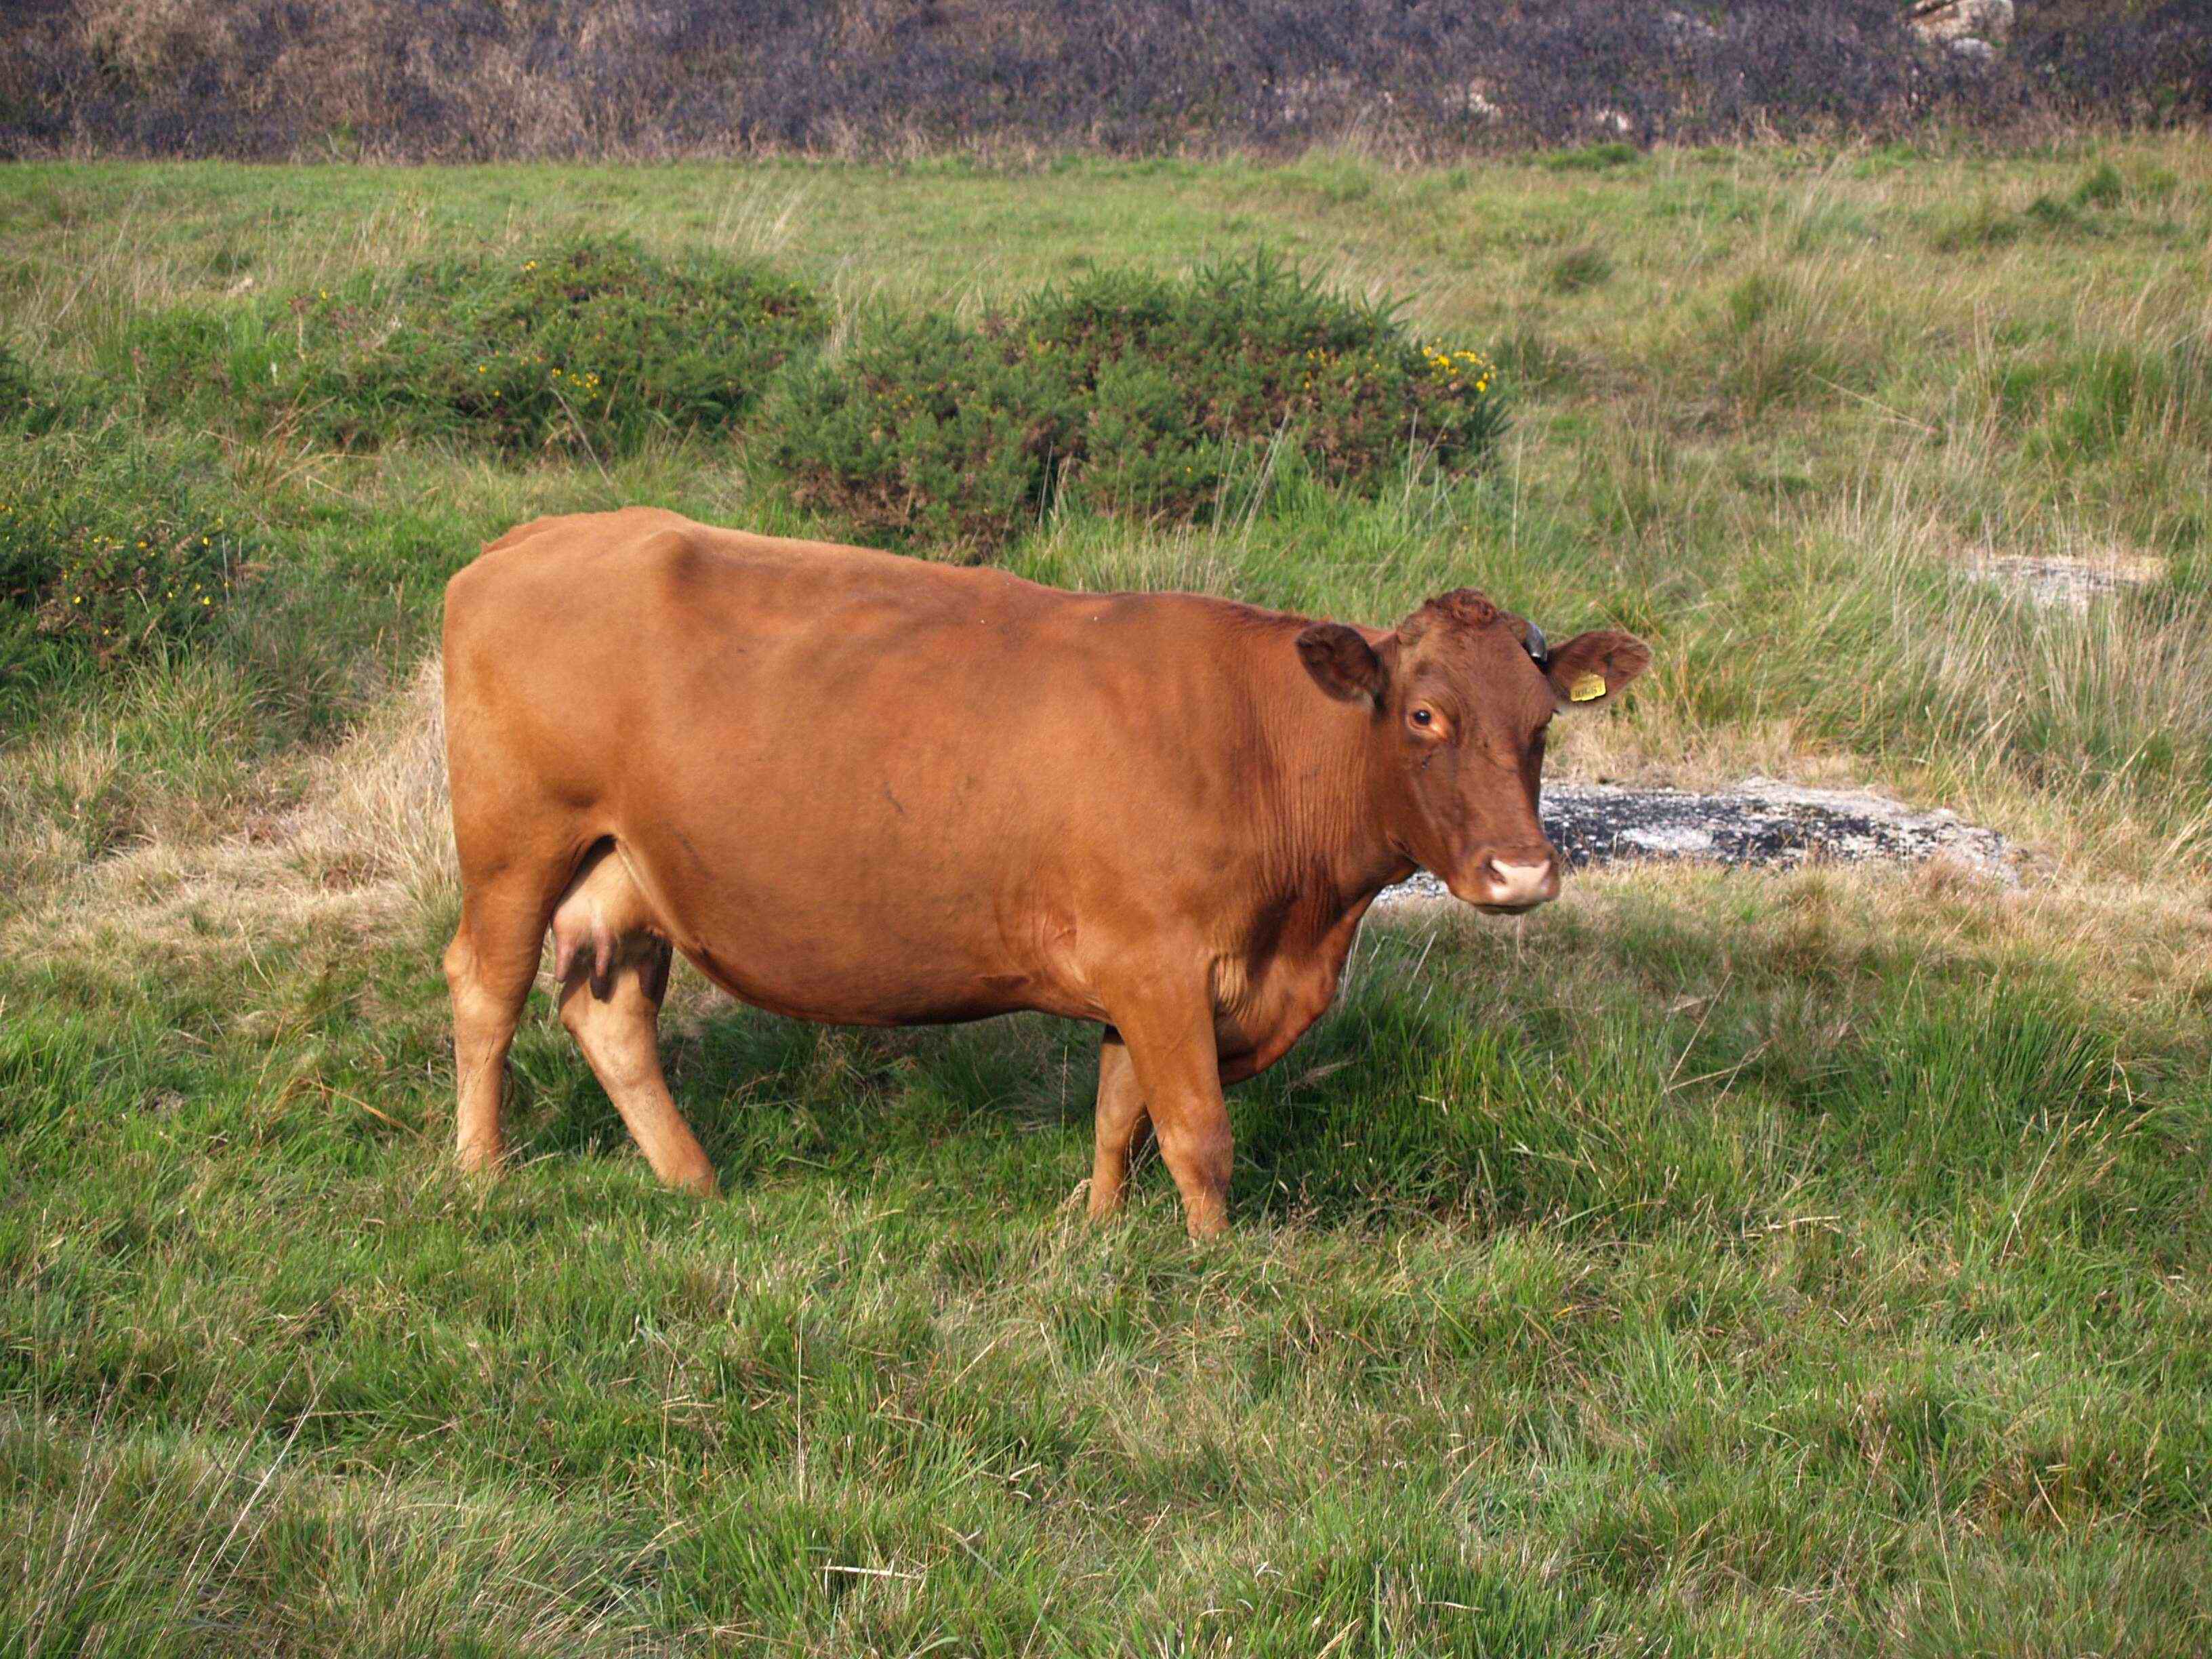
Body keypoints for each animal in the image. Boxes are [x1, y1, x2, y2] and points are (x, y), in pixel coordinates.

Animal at [441, 508, 1649, 1237]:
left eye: (1542, 721)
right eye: (1423, 715)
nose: (1521, 872)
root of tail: (539, 536)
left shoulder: (1146, 976)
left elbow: (1121, 1111)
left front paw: (1099, 1225)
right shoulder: (1156, 959)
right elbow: (1198, 1135)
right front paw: (1216, 1263)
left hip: (625, 867)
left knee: (607, 1012)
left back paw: (694, 1181)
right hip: (517, 840)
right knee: (486, 990)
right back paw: (481, 1175)